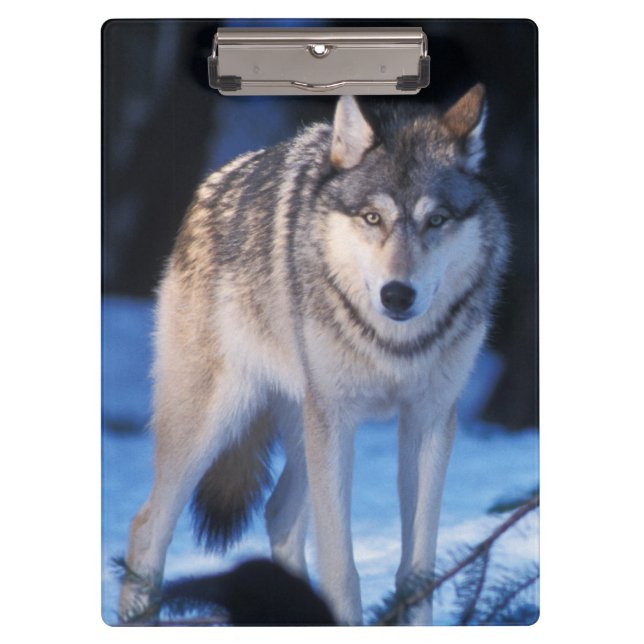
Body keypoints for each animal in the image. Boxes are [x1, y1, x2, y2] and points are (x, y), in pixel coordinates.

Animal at [118, 83, 508, 626]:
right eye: (372, 218)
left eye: (436, 221)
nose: (397, 295)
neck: (393, 346)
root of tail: (213, 183)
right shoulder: (337, 420)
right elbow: (342, 569)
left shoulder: (429, 420)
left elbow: (417, 572)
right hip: (215, 426)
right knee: (146, 526)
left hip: (304, 429)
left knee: (278, 514)